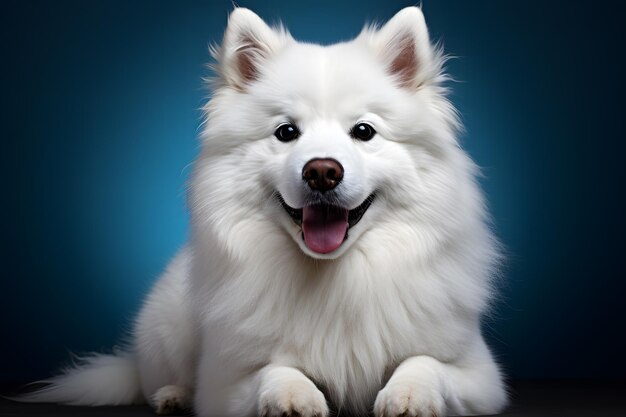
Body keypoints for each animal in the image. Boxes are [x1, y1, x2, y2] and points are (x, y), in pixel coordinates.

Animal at [22, 6, 508, 416]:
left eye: (364, 131)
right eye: (286, 132)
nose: (322, 172)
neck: (335, 279)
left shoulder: (480, 373)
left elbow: (425, 362)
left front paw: (409, 395)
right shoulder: (224, 382)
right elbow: (272, 370)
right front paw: (295, 397)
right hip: (167, 330)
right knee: (156, 378)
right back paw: (171, 396)